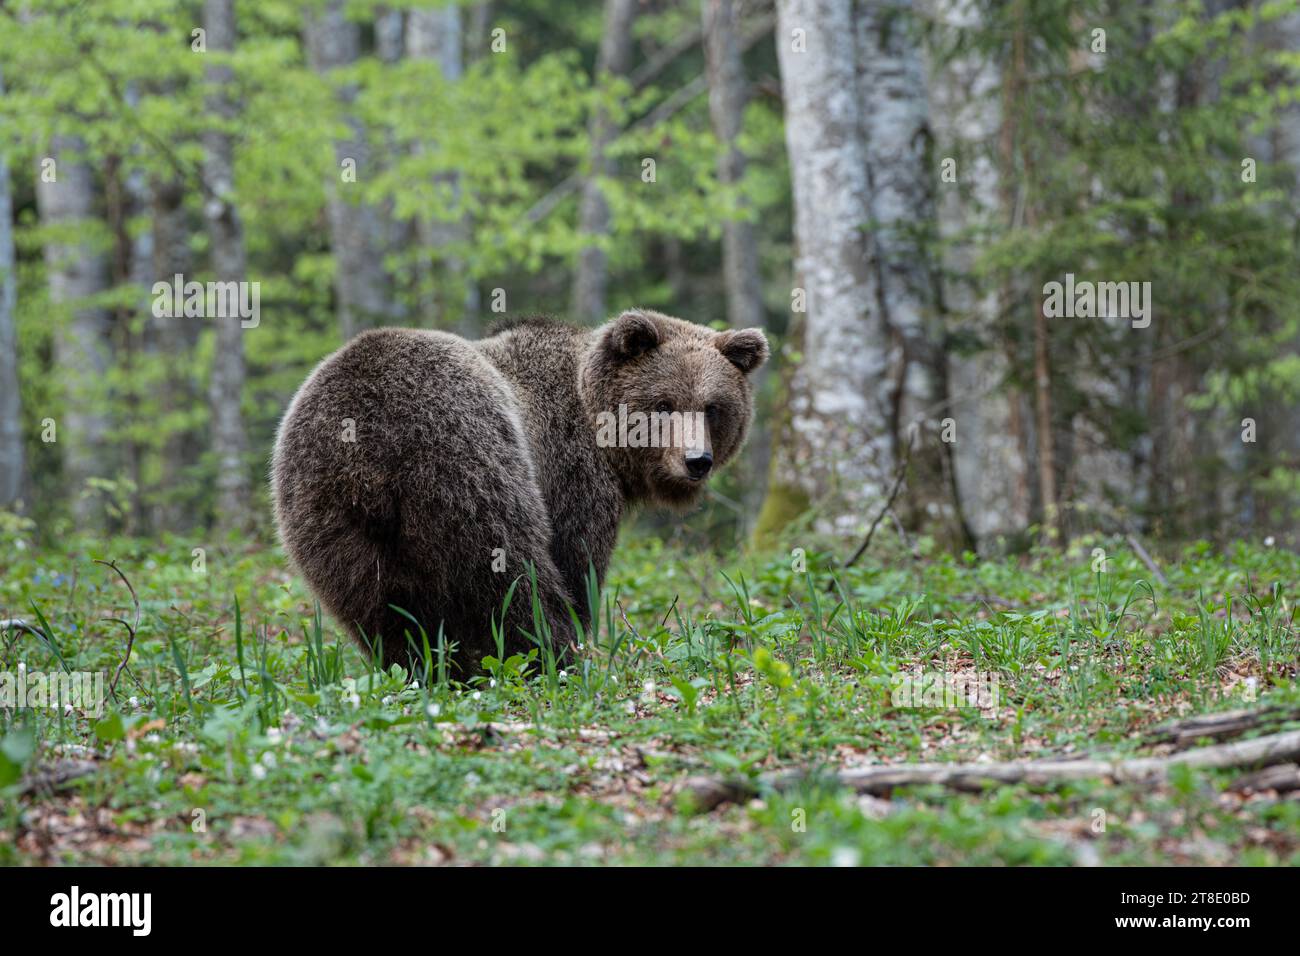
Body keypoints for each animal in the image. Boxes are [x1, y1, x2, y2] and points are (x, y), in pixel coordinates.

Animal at [271, 309, 768, 676]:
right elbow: (574, 559)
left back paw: (428, 672)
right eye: (664, 404)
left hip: (325, 514)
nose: (696, 460)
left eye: (712, 407)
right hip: (467, 454)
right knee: (511, 573)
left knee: (378, 606)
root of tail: (362, 441)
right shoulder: (568, 470)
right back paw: (556, 658)